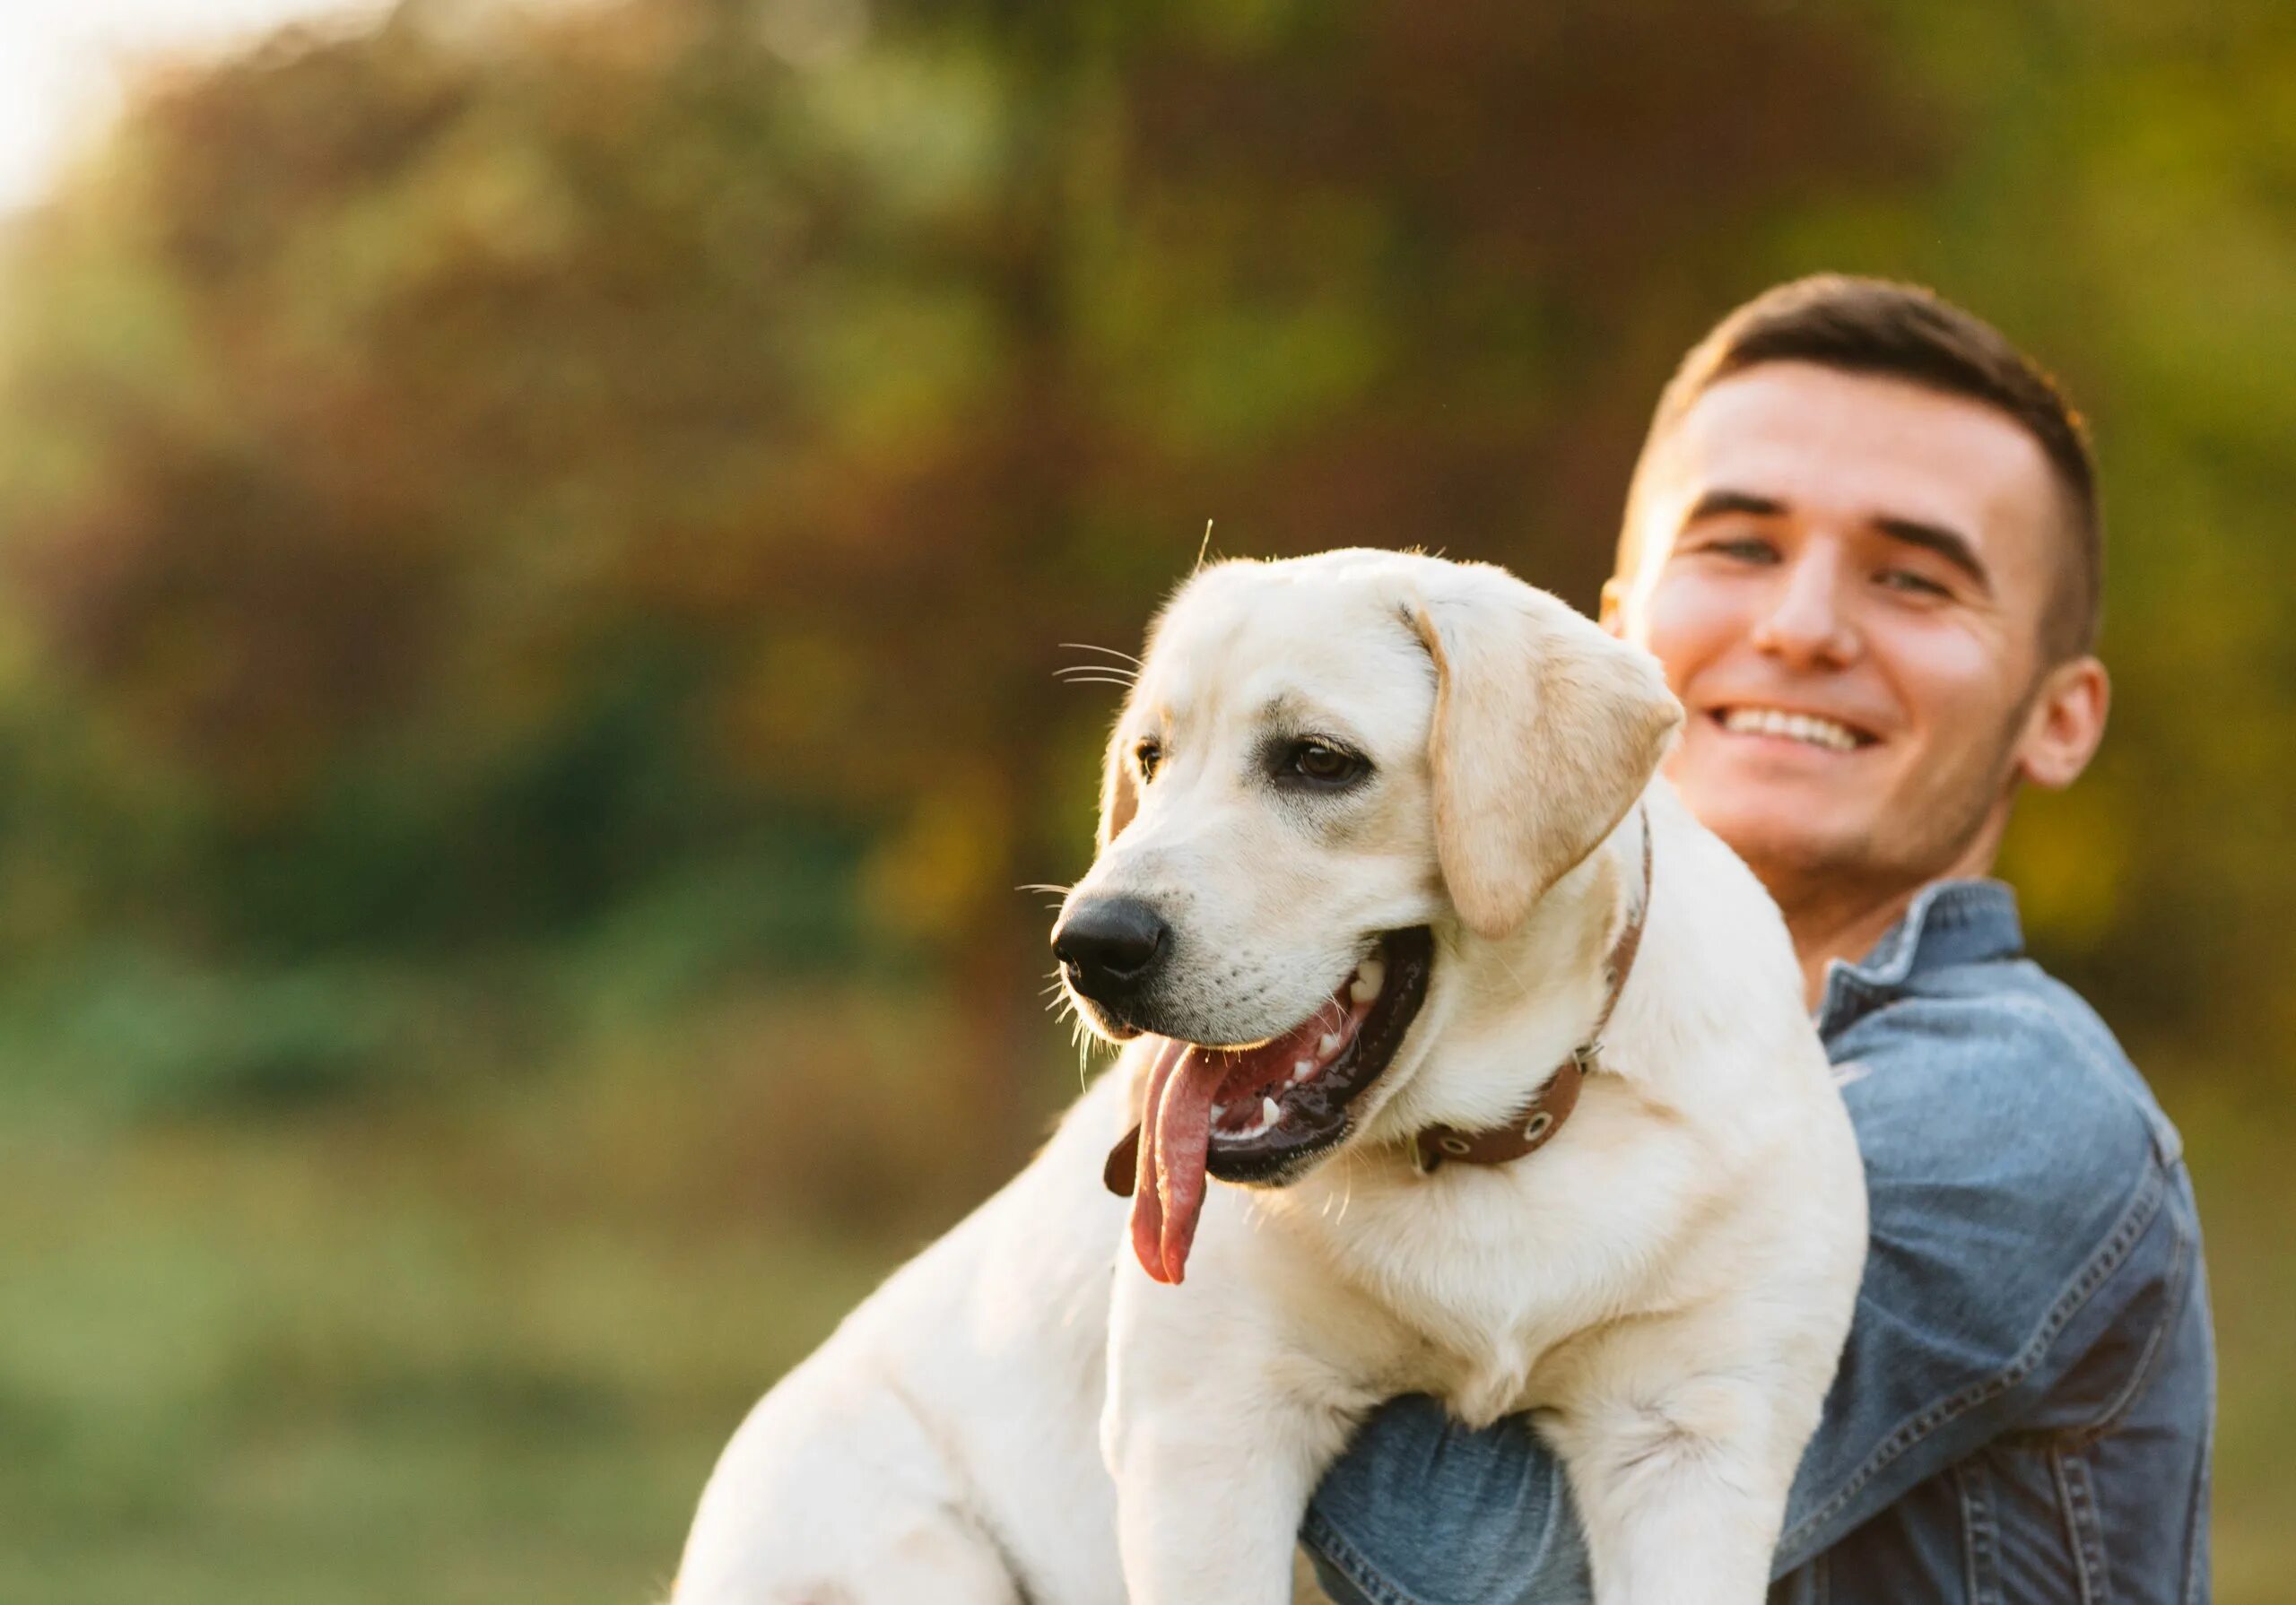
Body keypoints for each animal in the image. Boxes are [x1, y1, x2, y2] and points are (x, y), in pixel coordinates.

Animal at [674, 553, 1864, 1605]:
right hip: (908, 1552)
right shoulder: (1207, 1427)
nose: (1089, 944)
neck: (1482, 1147)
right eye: (1149, 757)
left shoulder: (1695, 1436)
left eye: (1318, 759)